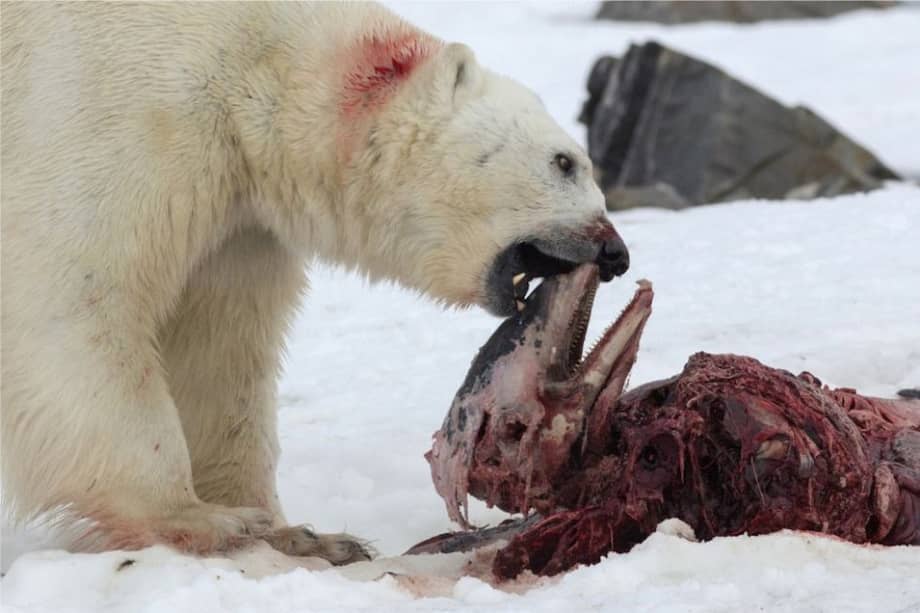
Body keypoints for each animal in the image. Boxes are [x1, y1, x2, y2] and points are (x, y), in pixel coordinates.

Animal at [0, 2, 629, 564]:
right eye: (565, 161)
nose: (615, 252)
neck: (253, 60)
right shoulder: (111, 112)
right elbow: (76, 298)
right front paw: (200, 518)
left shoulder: (238, 219)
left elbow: (217, 349)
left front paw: (302, 535)